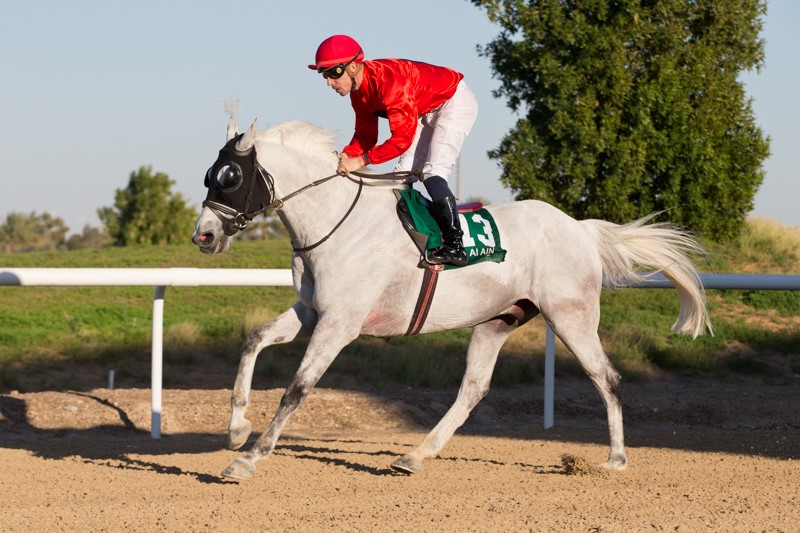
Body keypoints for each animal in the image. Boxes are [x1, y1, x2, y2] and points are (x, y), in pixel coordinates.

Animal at [192, 117, 712, 481]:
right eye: (208, 175)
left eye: (231, 176)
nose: (204, 236)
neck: (334, 221)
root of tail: (579, 228)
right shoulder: (312, 311)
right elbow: (253, 341)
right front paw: (236, 429)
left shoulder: (340, 323)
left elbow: (297, 389)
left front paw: (249, 459)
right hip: (497, 321)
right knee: (473, 389)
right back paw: (415, 455)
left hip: (572, 316)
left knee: (607, 378)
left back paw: (616, 459)